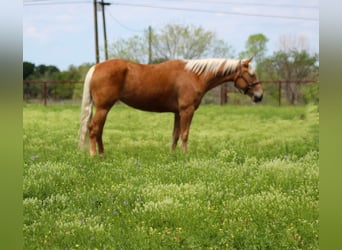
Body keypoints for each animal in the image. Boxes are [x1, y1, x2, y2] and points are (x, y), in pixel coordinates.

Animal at [79, 58, 264, 156]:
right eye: (251, 74)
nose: (259, 96)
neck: (195, 75)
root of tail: (96, 67)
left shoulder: (177, 113)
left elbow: (175, 135)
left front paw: (173, 155)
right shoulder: (186, 110)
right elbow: (185, 134)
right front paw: (184, 155)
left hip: (103, 108)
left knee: (98, 130)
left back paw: (102, 155)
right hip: (103, 107)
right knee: (94, 129)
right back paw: (94, 156)